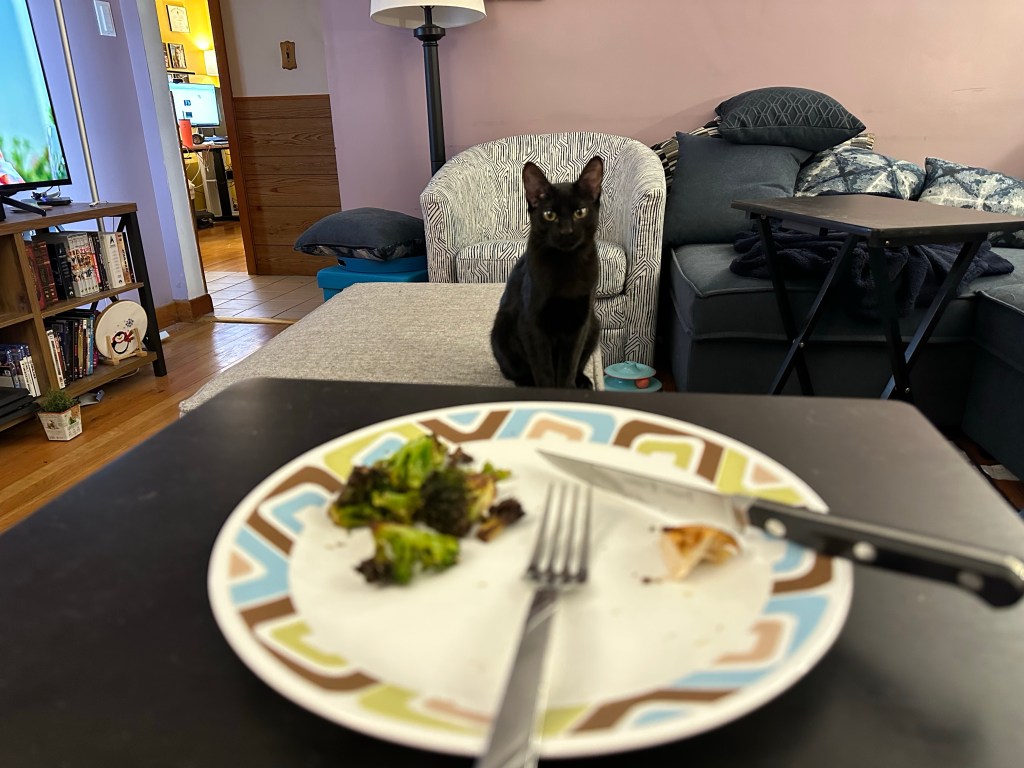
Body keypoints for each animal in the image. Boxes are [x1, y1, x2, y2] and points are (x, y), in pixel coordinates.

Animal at [490, 156, 603, 388]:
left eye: (580, 212)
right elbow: (544, 371)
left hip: (594, 325)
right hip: (501, 330)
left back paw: (583, 381)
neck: (566, 265)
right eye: (549, 215)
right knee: (517, 371)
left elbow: (569, 367)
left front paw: (569, 389)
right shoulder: (533, 326)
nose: (566, 231)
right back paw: (525, 383)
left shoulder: (579, 323)